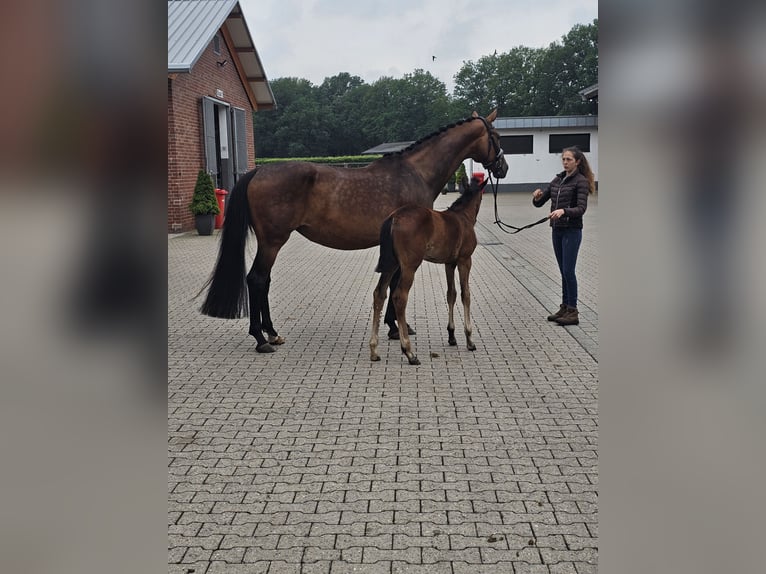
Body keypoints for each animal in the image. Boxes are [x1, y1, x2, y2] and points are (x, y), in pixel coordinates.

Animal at [368, 179, 488, 364]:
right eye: (482, 196)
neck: (463, 217)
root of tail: (394, 217)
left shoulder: (449, 263)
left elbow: (451, 294)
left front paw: (451, 336)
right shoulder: (465, 260)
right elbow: (465, 294)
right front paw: (469, 340)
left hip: (391, 264)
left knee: (379, 294)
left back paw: (374, 350)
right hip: (409, 266)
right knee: (399, 296)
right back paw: (409, 352)